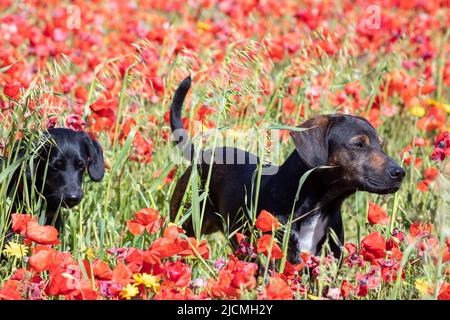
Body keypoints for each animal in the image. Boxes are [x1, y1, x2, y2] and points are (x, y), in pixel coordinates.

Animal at [168, 77, 404, 262]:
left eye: (381, 145)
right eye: (359, 144)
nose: (400, 173)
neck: (319, 206)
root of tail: (201, 155)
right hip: (185, 224)